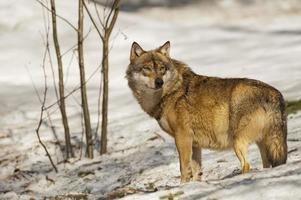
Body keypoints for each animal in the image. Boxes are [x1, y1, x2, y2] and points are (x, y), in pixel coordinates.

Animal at [125, 41, 286, 183]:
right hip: (262, 143)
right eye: (147, 68)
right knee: (266, 164)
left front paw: (183, 186)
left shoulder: (182, 138)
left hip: (238, 142)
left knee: (246, 165)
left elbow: (184, 168)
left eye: (162, 68)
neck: (170, 93)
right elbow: (197, 171)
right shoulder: (195, 144)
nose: (159, 82)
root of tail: (275, 94)